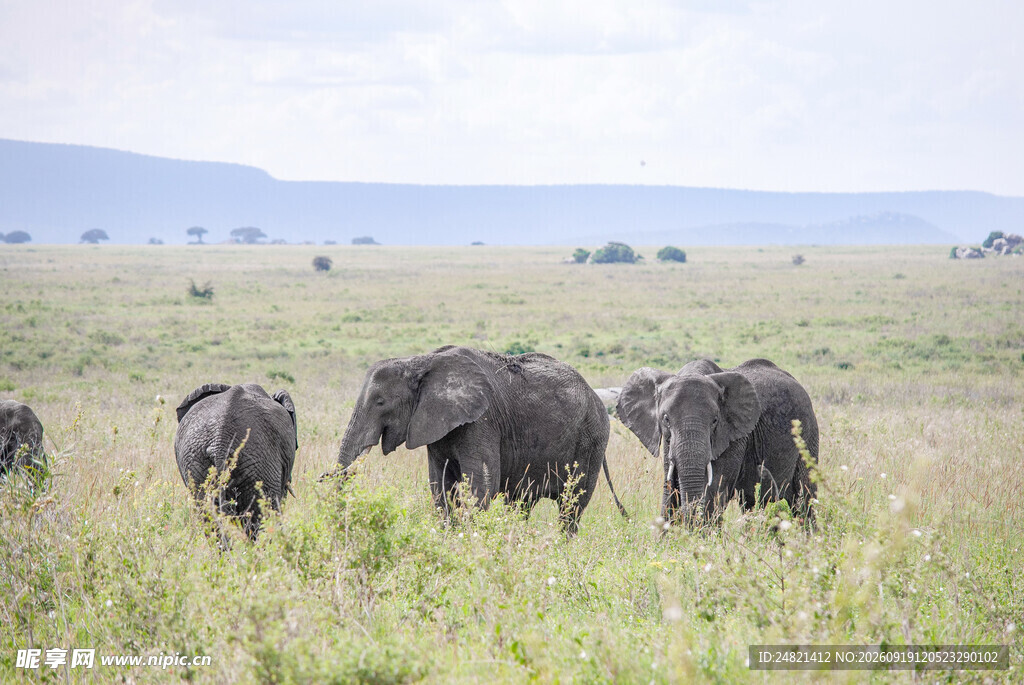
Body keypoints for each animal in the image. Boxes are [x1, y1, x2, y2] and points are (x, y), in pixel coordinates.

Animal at [333, 345, 627, 535]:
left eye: (380, 402)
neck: (420, 361)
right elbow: (440, 485)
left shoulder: (481, 421)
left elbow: (481, 485)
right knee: (522, 503)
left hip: (591, 439)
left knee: (571, 506)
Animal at [616, 358, 818, 524]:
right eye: (665, 419)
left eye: (714, 420)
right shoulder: (667, 441)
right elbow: (670, 486)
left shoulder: (734, 435)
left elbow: (715, 487)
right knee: (751, 502)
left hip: (808, 433)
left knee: (804, 496)